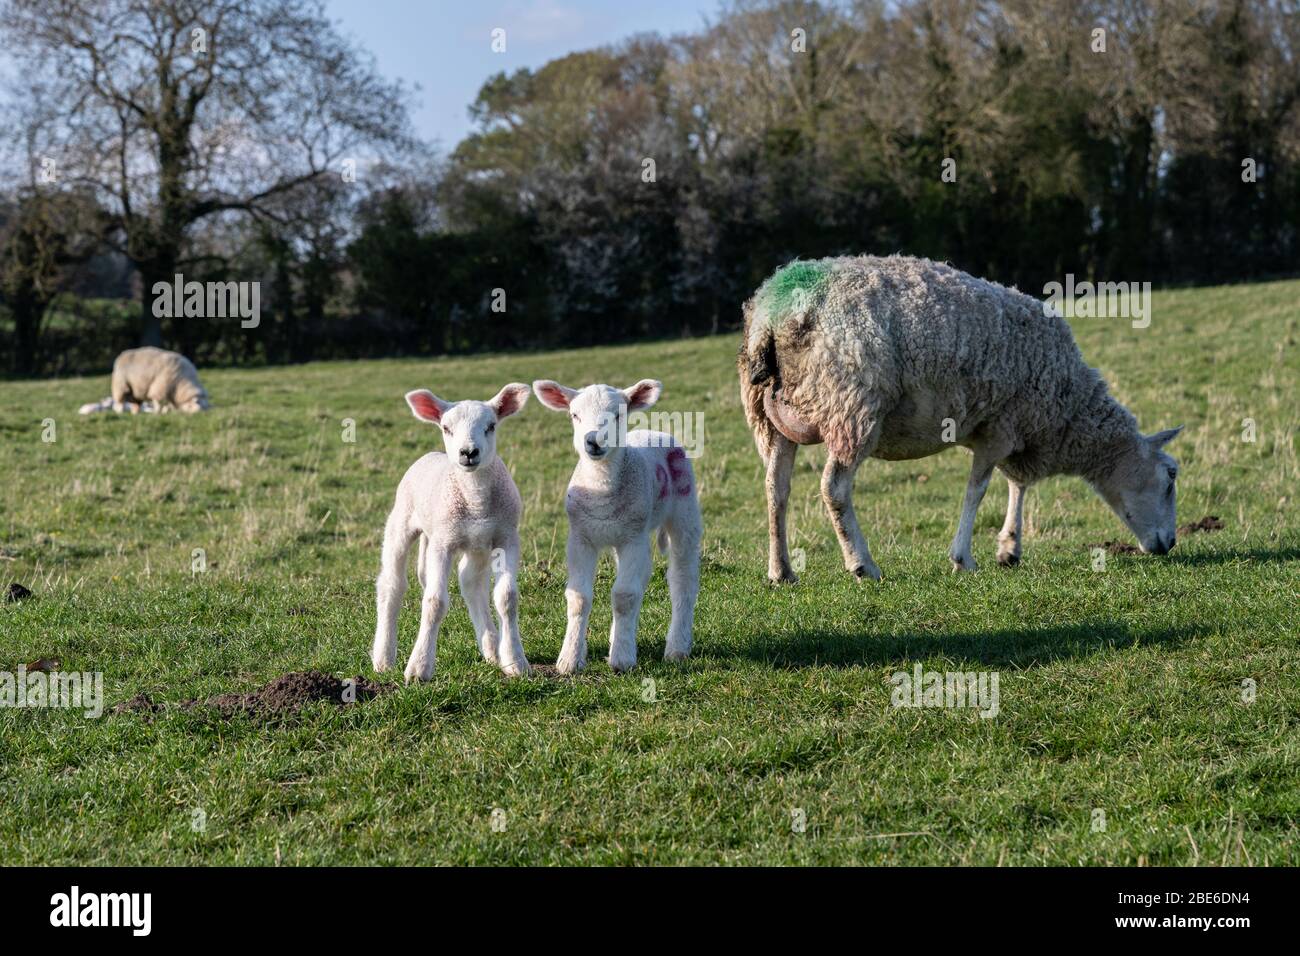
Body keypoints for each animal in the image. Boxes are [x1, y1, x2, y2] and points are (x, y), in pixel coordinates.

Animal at [371, 383, 533, 682]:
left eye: (491, 426)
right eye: (446, 427)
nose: (468, 452)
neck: (475, 497)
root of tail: (432, 455)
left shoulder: (507, 537)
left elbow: (507, 598)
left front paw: (515, 661)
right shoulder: (442, 543)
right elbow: (434, 603)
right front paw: (419, 668)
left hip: (477, 544)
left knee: (470, 581)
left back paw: (491, 648)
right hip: (402, 521)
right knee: (392, 584)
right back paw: (383, 658)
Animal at [532, 379, 702, 674]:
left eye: (619, 415)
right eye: (574, 415)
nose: (593, 440)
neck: (602, 488)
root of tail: (654, 432)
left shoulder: (632, 538)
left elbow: (624, 596)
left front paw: (622, 660)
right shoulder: (581, 539)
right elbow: (579, 598)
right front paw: (570, 659)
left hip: (684, 511)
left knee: (683, 579)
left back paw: (677, 647)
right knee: (642, 576)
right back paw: (619, 637)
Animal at [738, 255, 1184, 579]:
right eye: (1171, 477)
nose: (1169, 544)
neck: (1068, 407)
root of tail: (773, 316)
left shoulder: (1014, 426)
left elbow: (1016, 484)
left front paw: (1009, 547)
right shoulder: (1001, 425)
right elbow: (979, 489)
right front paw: (964, 557)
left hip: (769, 418)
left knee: (775, 488)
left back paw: (781, 570)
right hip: (852, 406)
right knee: (834, 489)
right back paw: (862, 564)